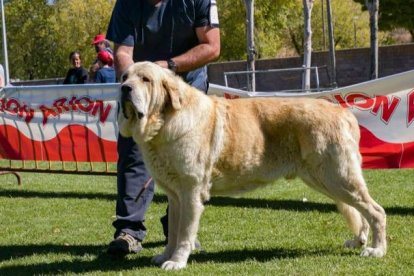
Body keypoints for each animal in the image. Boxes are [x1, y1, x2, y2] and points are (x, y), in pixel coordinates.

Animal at [118, 62, 386, 270]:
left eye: (145, 79)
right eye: (124, 76)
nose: (124, 88)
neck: (165, 121)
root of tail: (344, 113)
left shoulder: (191, 192)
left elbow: (184, 232)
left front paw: (177, 261)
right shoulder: (175, 196)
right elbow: (173, 230)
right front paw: (166, 255)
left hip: (337, 177)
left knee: (376, 211)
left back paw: (376, 249)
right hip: (328, 180)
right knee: (362, 212)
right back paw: (359, 241)